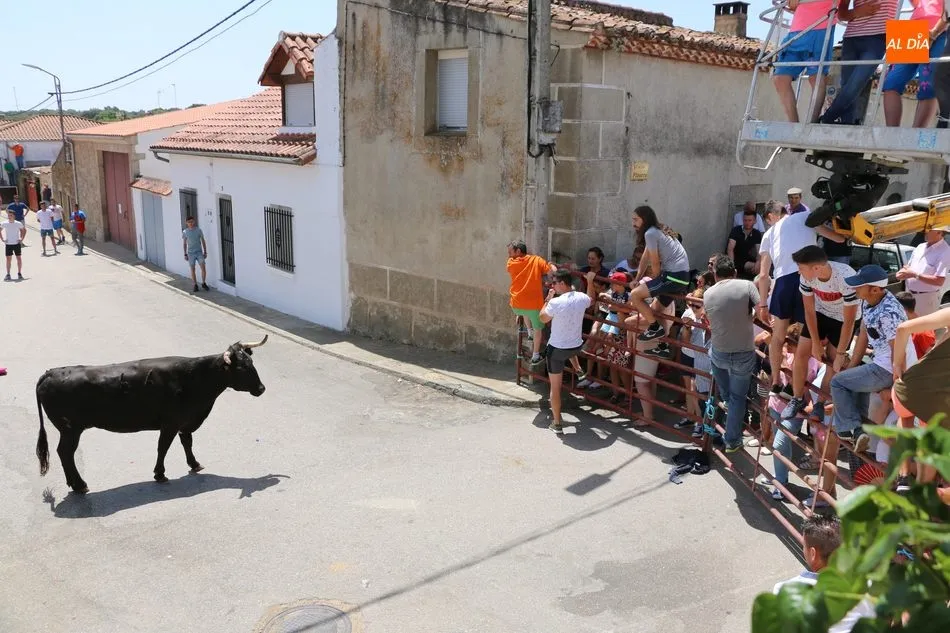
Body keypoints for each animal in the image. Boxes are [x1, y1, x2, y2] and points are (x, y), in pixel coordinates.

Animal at [35, 336, 269, 494]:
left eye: (252, 363)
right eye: (242, 368)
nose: (261, 388)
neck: (194, 378)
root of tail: (50, 373)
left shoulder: (185, 421)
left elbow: (187, 442)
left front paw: (194, 464)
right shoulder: (171, 423)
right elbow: (163, 447)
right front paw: (160, 473)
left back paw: (75, 485)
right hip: (70, 429)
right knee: (65, 452)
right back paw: (80, 485)